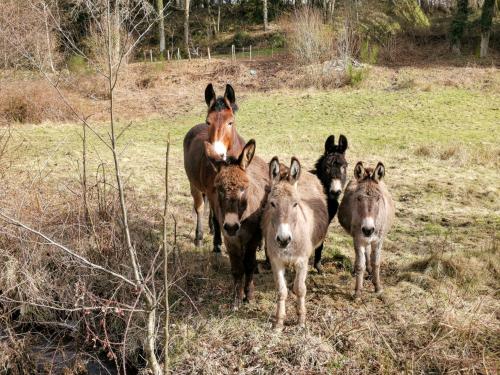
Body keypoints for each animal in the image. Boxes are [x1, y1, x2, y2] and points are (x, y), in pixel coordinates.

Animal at [184, 83, 246, 251]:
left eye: (230, 122)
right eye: (208, 122)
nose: (217, 154)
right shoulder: (212, 191)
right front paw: (217, 244)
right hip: (194, 185)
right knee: (199, 207)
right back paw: (199, 237)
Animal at [205, 140, 270, 310]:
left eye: (243, 189)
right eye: (219, 189)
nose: (231, 226)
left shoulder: (253, 237)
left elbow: (249, 264)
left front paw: (249, 295)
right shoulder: (230, 239)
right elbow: (237, 268)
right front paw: (237, 299)